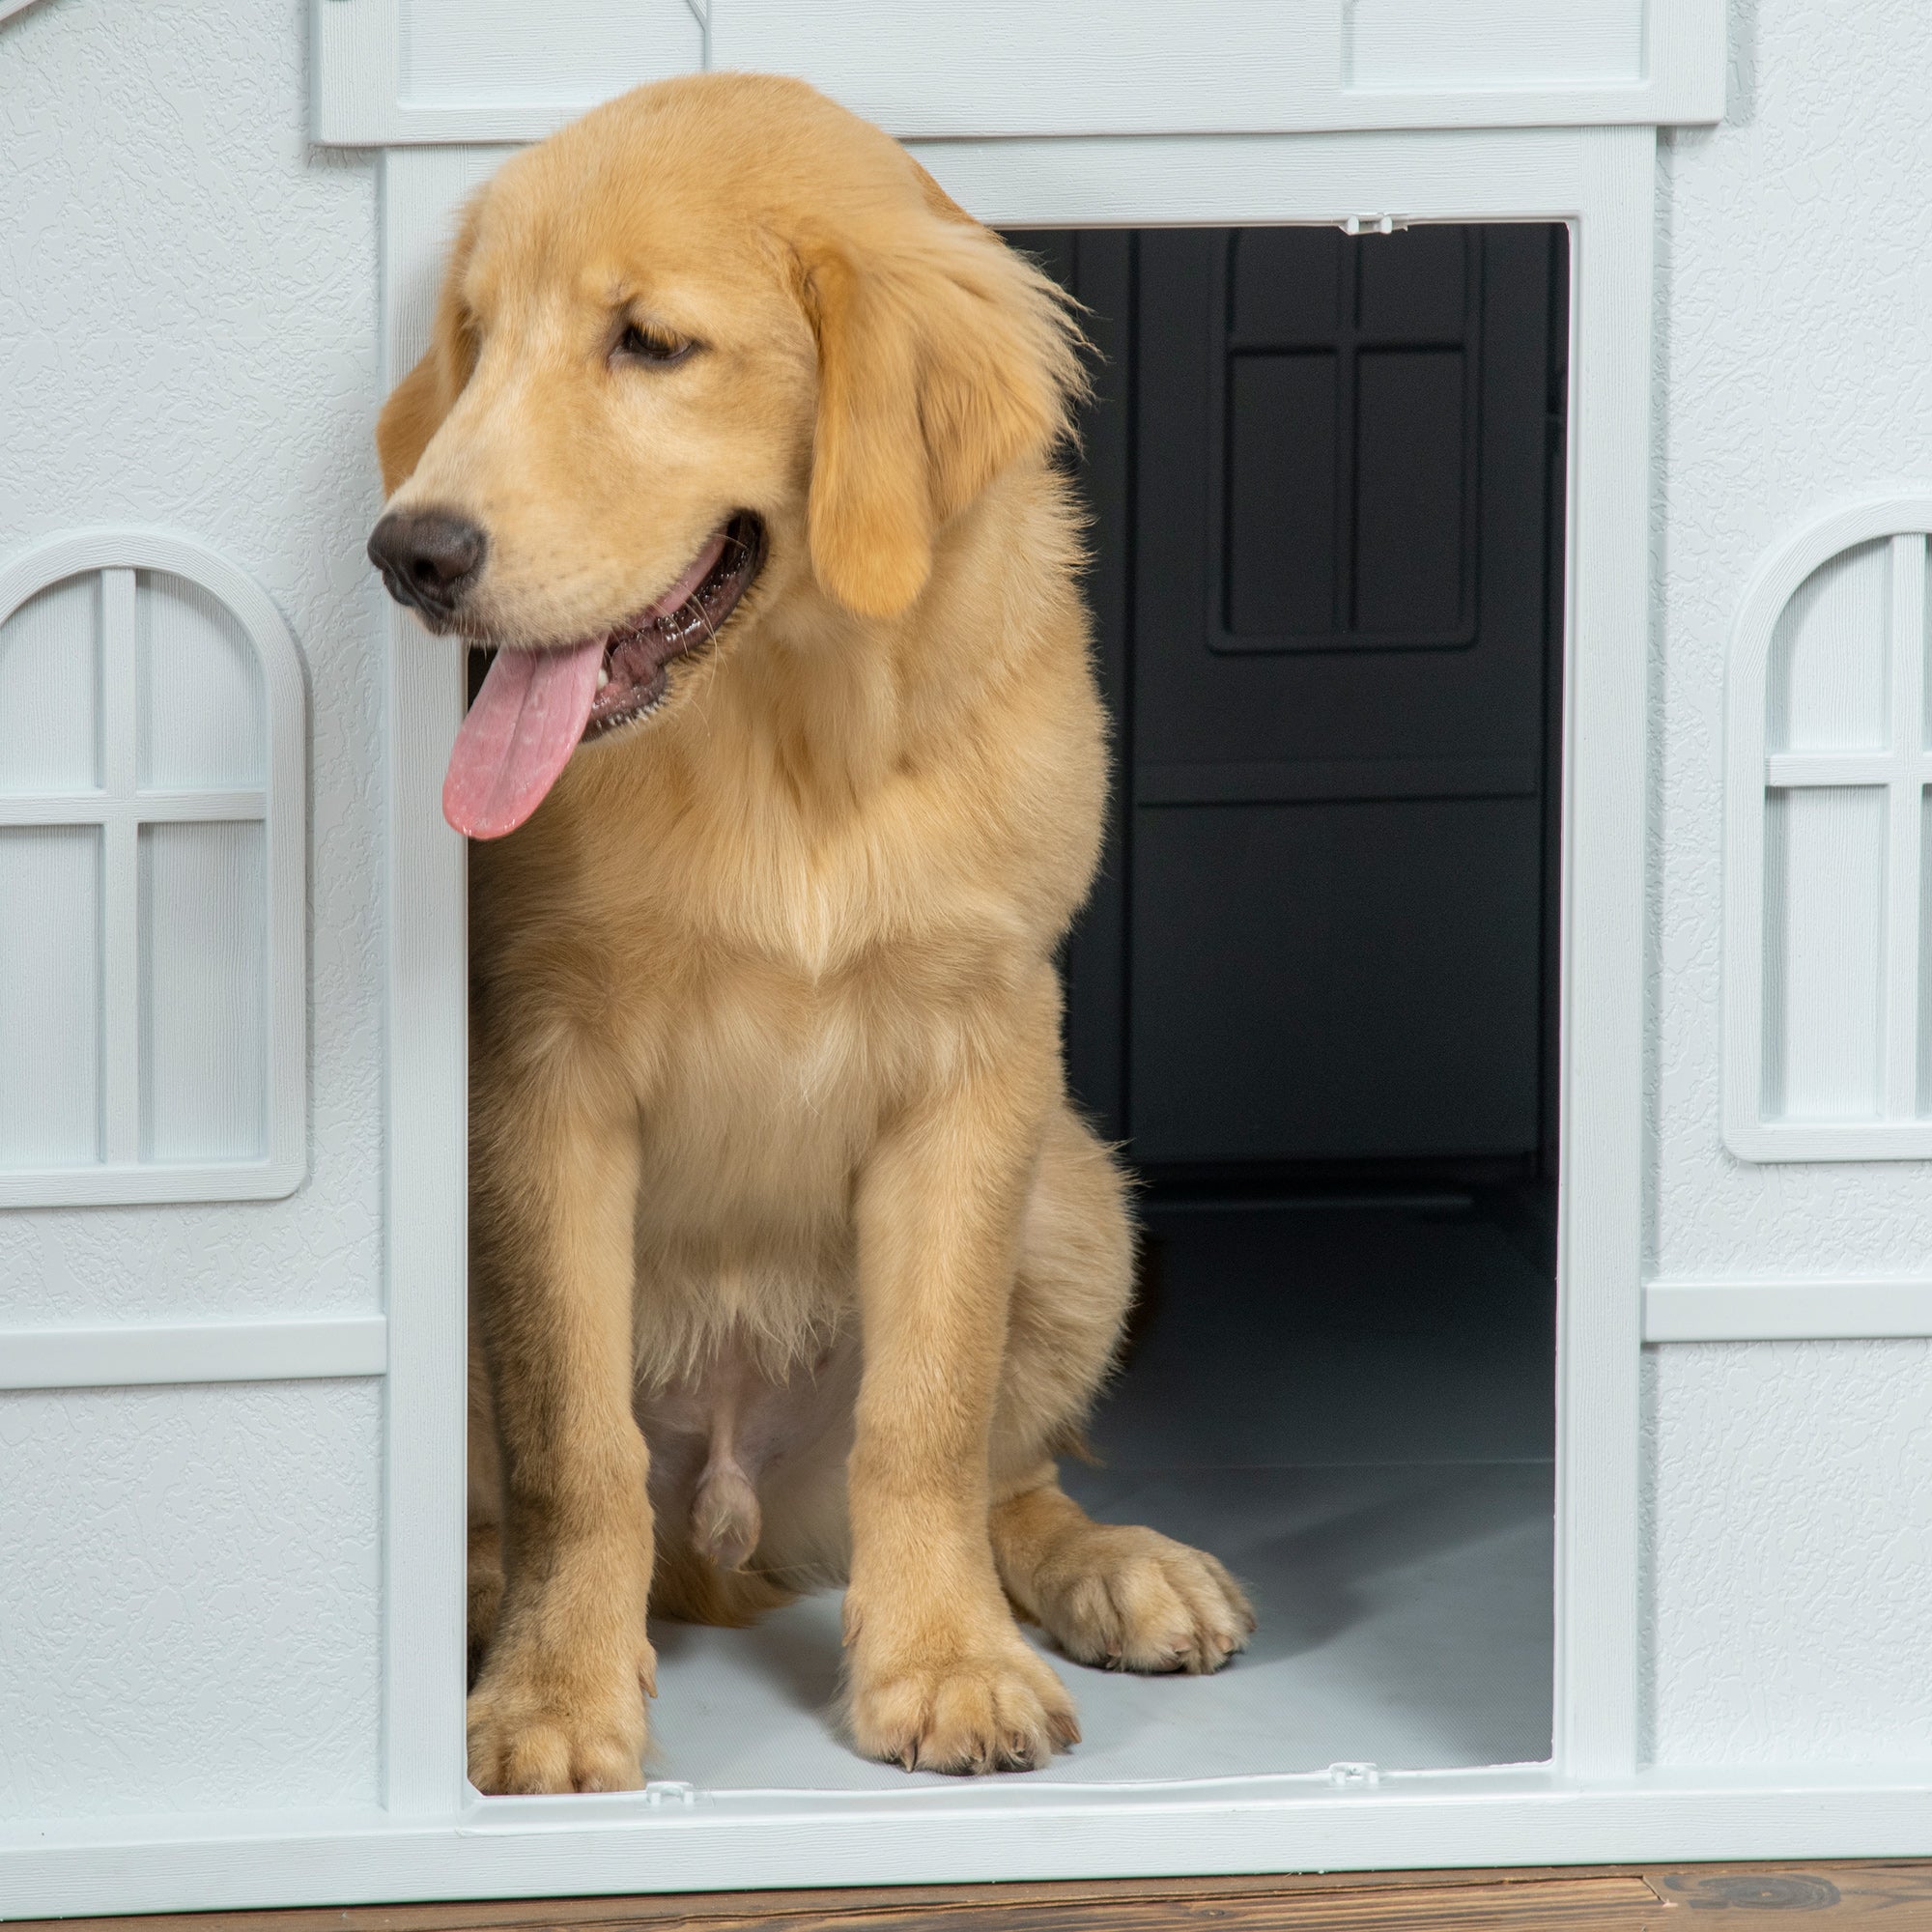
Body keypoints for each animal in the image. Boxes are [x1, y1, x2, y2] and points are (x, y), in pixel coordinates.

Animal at [365, 75, 1252, 1793]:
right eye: (475, 340)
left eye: (650, 343)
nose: (410, 554)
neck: (789, 731)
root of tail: (732, 1529)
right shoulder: (545, 1071)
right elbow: (572, 1441)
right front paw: (555, 1696)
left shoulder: (979, 1055)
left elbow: (929, 1414)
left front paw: (945, 1663)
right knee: (546, 1498)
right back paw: (489, 1598)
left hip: (1078, 1199)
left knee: (1008, 1476)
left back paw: (1112, 1566)